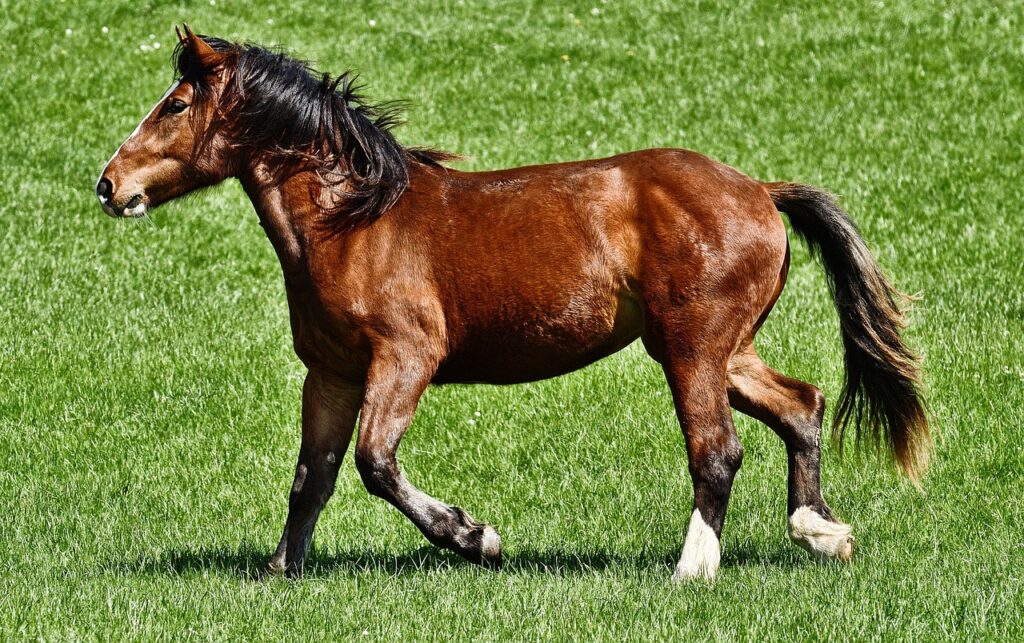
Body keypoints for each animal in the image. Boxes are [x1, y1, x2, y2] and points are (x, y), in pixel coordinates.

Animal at [95, 26, 929, 581]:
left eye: (175, 105)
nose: (109, 184)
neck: (354, 221)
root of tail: (759, 189)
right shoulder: (330, 373)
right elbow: (314, 475)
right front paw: (279, 569)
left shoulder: (405, 358)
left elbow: (375, 463)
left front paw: (476, 536)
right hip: (722, 349)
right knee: (802, 405)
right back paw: (822, 531)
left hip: (692, 348)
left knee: (718, 450)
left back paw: (692, 569)